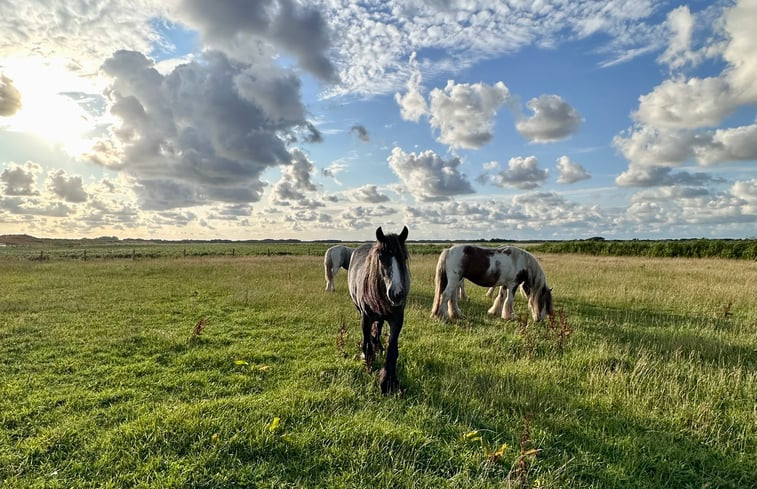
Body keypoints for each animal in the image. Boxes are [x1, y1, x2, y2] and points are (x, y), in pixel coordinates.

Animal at [346, 225, 410, 392]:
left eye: (404, 257)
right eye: (381, 257)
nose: (397, 294)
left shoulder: (397, 319)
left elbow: (392, 350)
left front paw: (388, 381)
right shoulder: (366, 318)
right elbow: (366, 341)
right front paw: (367, 361)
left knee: (378, 329)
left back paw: (379, 347)